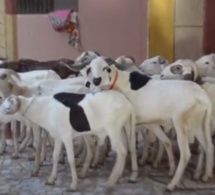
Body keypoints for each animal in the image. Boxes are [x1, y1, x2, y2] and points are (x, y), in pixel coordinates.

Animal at [0, 89, 138, 190]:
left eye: (6, 109)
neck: (46, 109)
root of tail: (128, 103)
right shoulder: (58, 138)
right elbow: (55, 157)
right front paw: (51, 179)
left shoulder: (66, 137)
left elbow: (71, 159)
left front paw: (73, 184)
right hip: (124, 129)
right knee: (128, 149)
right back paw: (118, 176)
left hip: (113, 130)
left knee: (121, 151)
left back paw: (112, 180)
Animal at [83, 55, 213, 191]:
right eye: (90, 68)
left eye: (106, 67)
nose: (96, 80)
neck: (119, 82)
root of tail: (202, 96)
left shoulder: (130, 122)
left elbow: (130, 147)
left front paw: (132, 175)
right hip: (198, 125)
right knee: (208, 147)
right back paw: (205, 176)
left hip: (180, 122)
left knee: (186, 154)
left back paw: (171, 184)